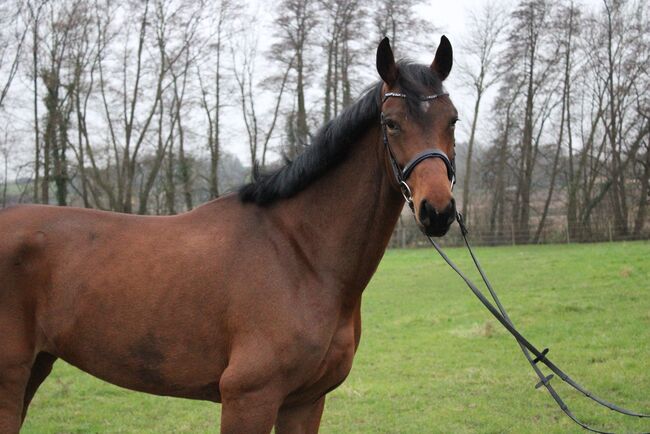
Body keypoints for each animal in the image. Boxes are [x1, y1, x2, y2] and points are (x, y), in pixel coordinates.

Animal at [0, 37, 456, 434]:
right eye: (391, 123)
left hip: (36, 367)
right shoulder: (249, 397)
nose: (437, 211)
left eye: (452, 120)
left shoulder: (305, 402)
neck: (301, 256)